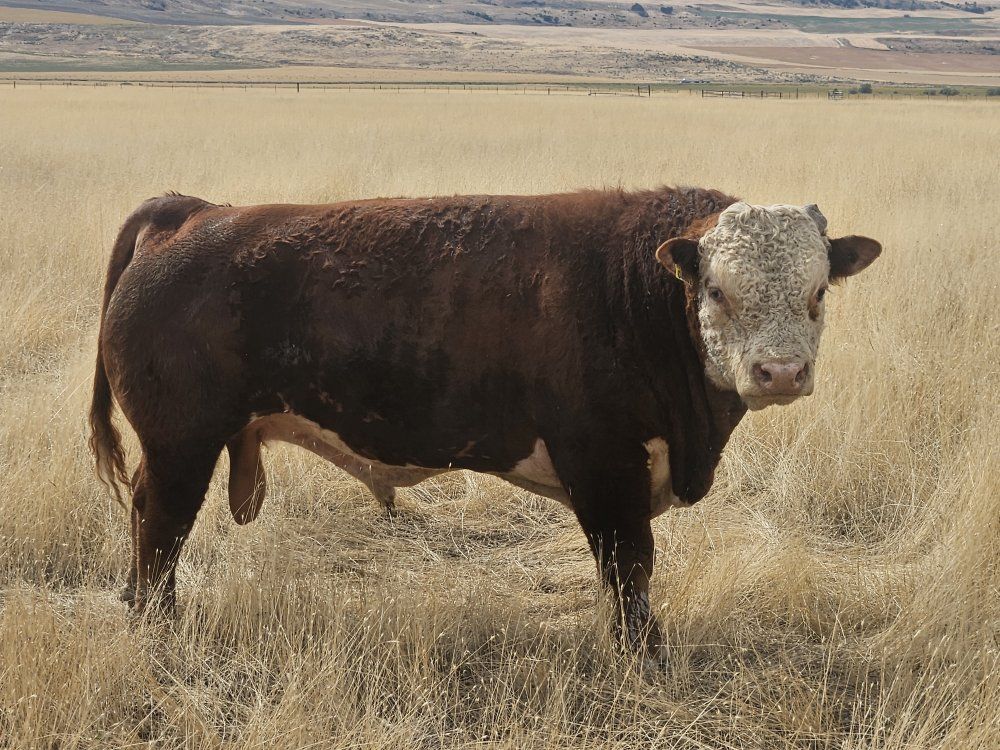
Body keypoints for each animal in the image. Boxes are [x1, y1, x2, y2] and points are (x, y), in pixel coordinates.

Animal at [89, 187, 880, 665]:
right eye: (717, 290)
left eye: (818, 292)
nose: (780, 373)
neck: (633, 293)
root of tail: (191, 214)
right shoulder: (604, 465)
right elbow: (629, 567)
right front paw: (643, 655)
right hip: (181, 445)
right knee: (161, 528)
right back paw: (156, 623)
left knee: (143, 517)